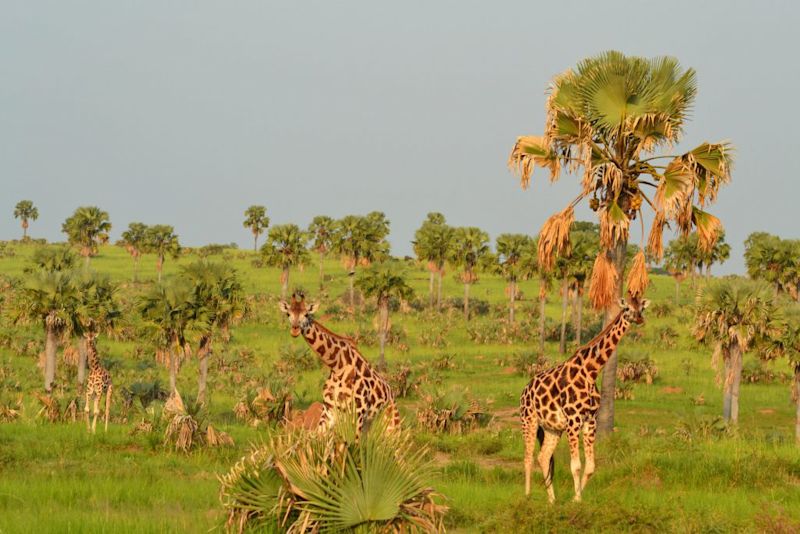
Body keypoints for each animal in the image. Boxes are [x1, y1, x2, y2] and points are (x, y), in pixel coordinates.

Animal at [278, 294, 400, 436]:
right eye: (288, 313)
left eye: (306, 314)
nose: (295, 330)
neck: (337, 365)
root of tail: (392, 394)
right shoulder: (329, 411)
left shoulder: (357, 413)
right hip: (368, 424)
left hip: (390, 425)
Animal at [520, 298, 648, 502]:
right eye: (627, 307)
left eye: (642, 308)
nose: (639, 318)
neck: (591, 371)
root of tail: (525, 389)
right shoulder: (573, 420)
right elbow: (576, 465)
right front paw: (577, 499)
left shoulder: (590, 421)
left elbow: (590, 467)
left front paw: (575, 497)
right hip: (529, 420)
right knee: (527, 457)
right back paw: (527, 496)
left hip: (552, 428)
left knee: (543, 457)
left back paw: (552, 500)